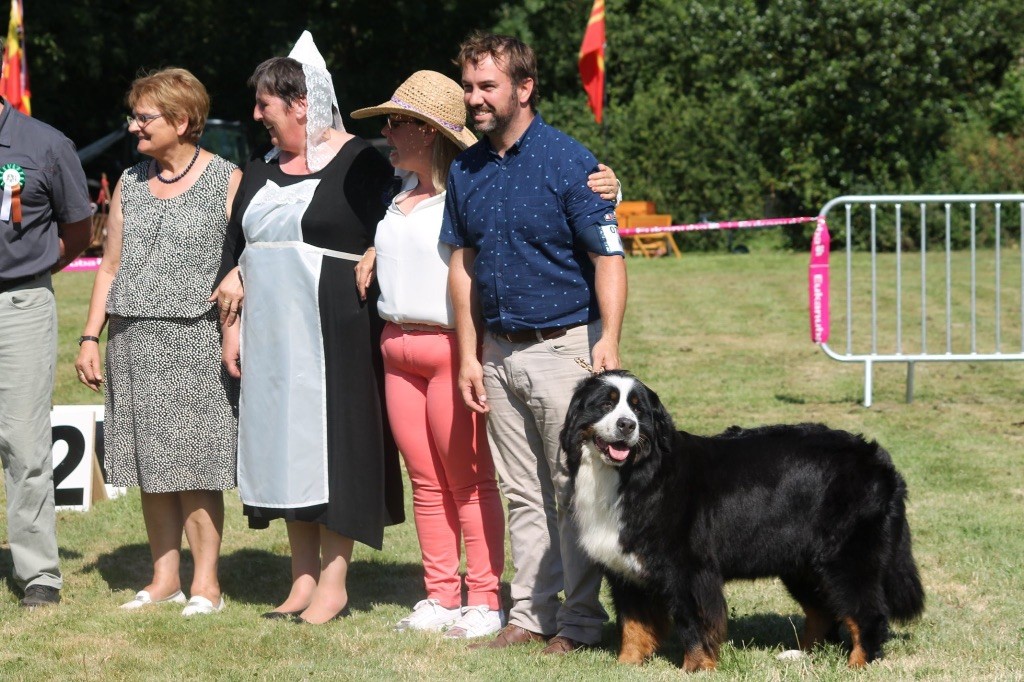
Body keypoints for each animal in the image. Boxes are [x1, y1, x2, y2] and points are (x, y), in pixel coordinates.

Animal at [565, 368, 925, 667]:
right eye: (605, 404)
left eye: (638, 409)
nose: (627, 425)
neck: (634, 474)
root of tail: (879, 460)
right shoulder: (625, 570)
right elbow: (633, 625)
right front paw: (626, 665)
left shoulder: (689, 570)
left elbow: (695, 624)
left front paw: (696, 668)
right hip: (802, 563)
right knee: (823, 610)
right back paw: (801, 655)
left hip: (846, 558)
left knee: (867, 612)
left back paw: (858, 664)